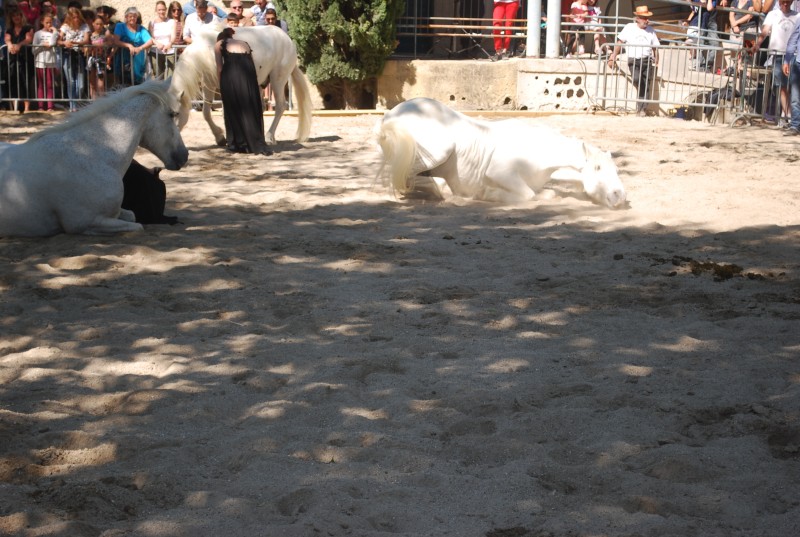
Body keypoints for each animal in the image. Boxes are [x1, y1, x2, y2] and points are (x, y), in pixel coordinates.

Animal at [0, 79, 189, 237]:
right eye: (172, 114)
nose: (184, 155)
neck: (90, 153)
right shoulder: (85, 223)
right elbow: (137, 226)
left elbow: (133, 216)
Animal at [170, 24, 312, 146]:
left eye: (176, 113)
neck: (205, 51)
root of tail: (288, 40)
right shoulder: (207, 85)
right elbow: (206, 113)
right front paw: (219, 138)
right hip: (261, 84)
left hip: (278, 80)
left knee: (280, 107)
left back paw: (269, 137)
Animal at [374, 96, 624, 207]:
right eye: (598, 167)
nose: (620, 196)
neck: (540, 150)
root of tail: (390, 115)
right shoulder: (500, 172)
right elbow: (528, 195)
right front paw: (488, 194)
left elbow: (544, 193)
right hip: (438, 150)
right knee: (407, 178)